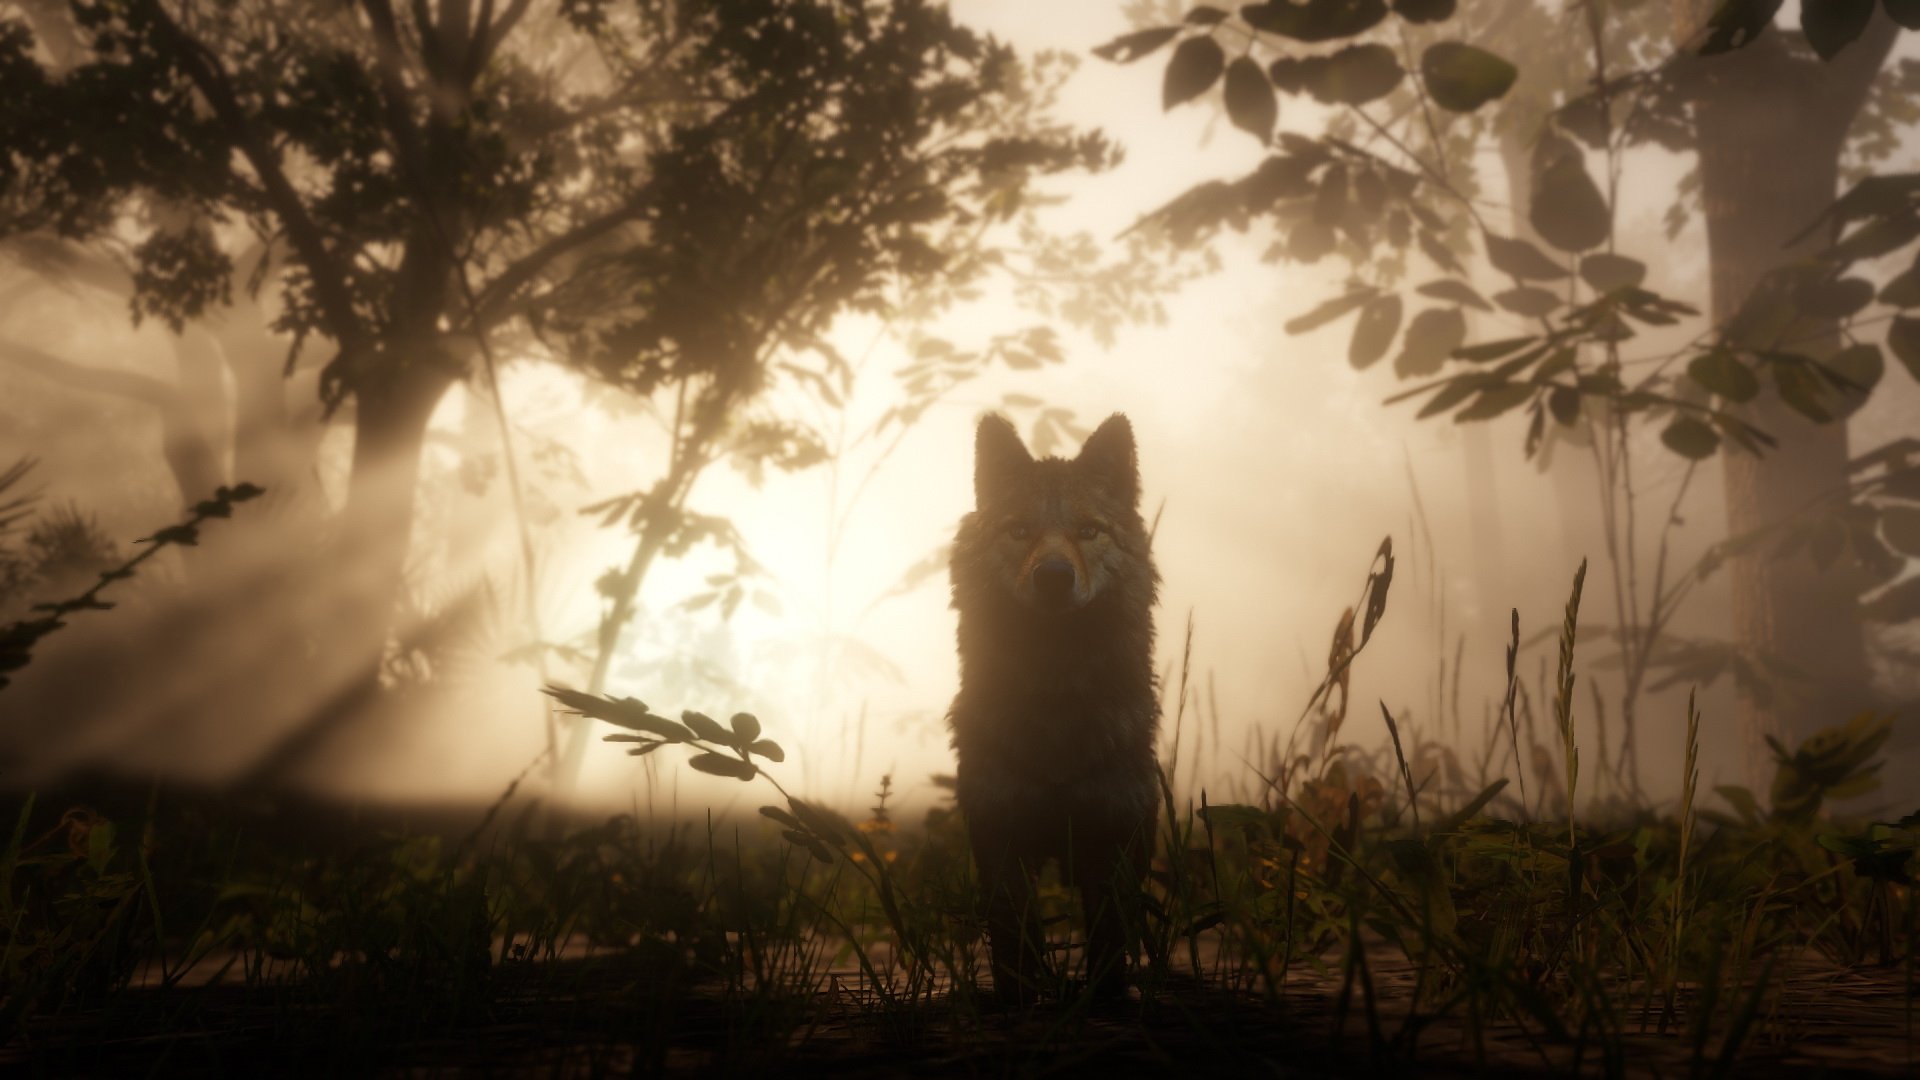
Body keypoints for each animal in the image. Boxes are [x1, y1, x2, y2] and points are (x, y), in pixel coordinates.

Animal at [947, 413, 1160, 1003]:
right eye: (1019, 531)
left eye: (1089, 531)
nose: (1054, 576)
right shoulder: (1001, 839)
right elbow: (1014, 944)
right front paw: (1018, 1000)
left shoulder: (1112, 838)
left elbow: (1110, 939)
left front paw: (1108, 1001)